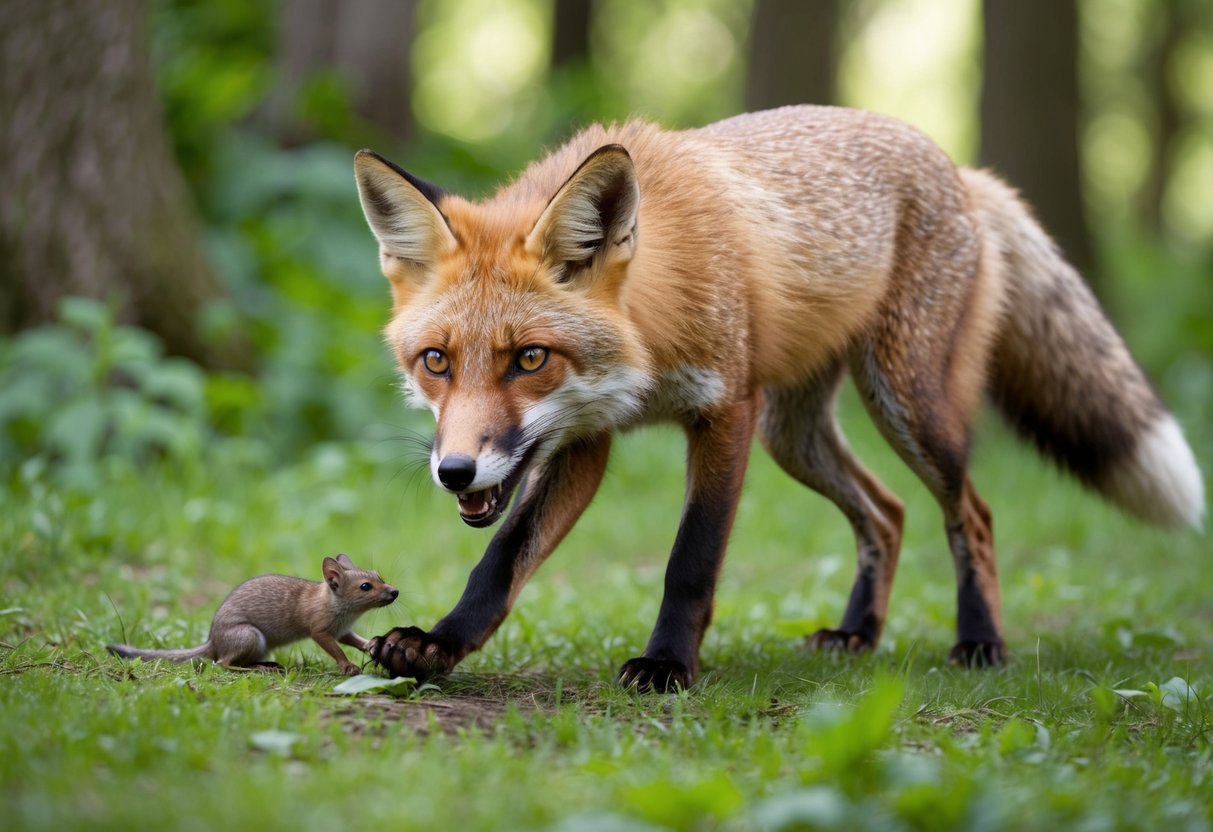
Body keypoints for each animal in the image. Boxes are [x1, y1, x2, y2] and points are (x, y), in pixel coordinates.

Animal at [353, 105, 1204, 692]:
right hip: (796, 435)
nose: (455, 473)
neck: (648, 338)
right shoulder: (583, 438)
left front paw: (667, 664)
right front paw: (440, 643)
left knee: (971, 513)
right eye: (436, 361)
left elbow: (691, 558)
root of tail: (960, 170)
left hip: (905, 405)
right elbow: (500, 562)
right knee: (886, 513)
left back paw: (979, 640)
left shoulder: (725, 411)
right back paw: (858, 634)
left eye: (529, 358)